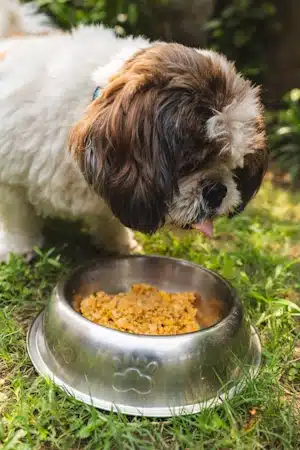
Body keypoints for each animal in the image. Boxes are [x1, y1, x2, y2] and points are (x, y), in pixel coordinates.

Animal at [0, 1, 268, 262]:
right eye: (191, 163)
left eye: (234, 164)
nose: (217, 190)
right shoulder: (10, 178)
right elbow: (17, 217)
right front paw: (19, 248)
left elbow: (109, 218)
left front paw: (119, 243)